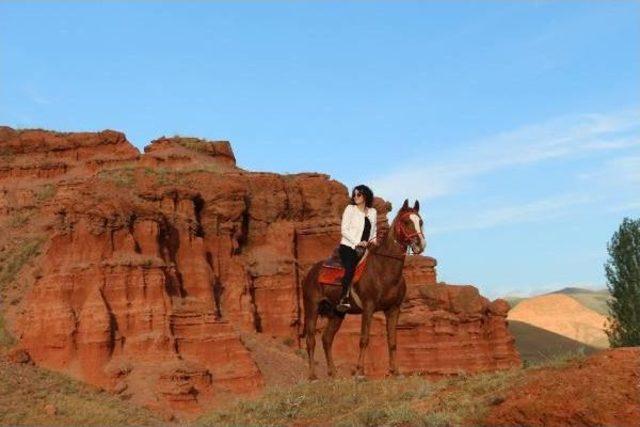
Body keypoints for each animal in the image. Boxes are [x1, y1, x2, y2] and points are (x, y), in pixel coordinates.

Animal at [302, 199, 428, 380]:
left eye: (420, 221)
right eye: (406, 221)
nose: (420, 244)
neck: (384, 270)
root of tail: (311, 272)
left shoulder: (393, 309)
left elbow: (392, 341)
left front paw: (395, 372)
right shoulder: (368, 307)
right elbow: (364, 339)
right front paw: (360, 372)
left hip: (337, 313)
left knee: (326, 339)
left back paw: (333, 373)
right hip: (312, 308)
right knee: (311, 340)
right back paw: (312, 376)